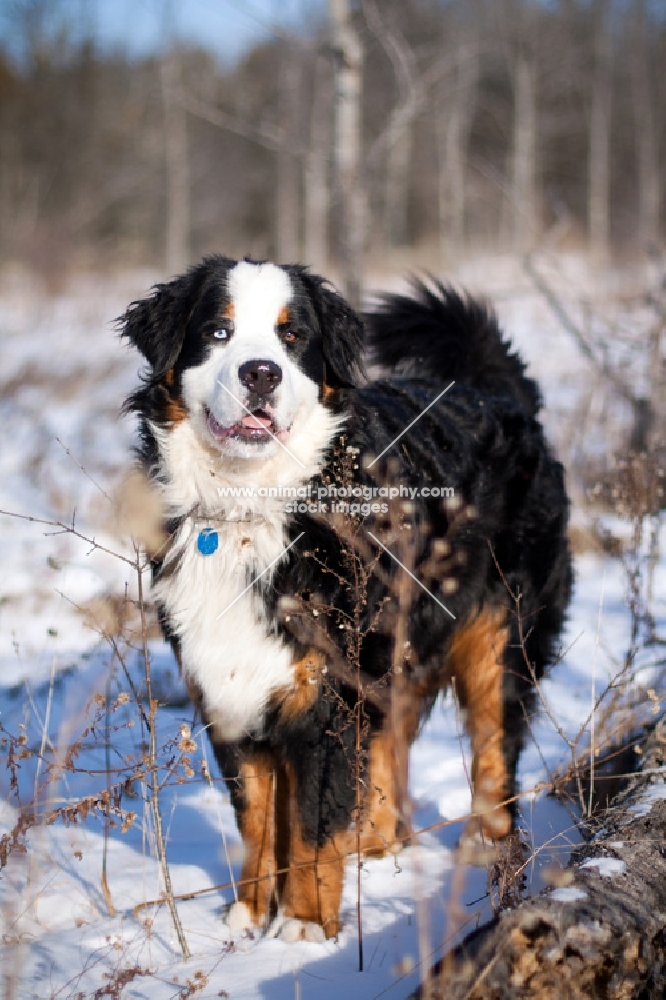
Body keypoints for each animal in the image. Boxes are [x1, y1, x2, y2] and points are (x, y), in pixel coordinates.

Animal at [120, 254, 572, 940]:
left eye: (292, 337)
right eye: (219, 332)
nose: (261, 372)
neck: (249, 511)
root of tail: (490, 391)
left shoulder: (329, 694)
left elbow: (311, 822)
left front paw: (304, 926)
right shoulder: (229, 685)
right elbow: (259, 817)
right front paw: (249, 916)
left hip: (500, 635)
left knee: (495, 749)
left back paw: (483, 851)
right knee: (388, 756)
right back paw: (376, 844)